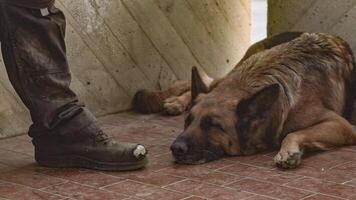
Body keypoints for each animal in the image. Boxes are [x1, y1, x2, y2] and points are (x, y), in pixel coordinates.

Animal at [133, 32, 356, 169]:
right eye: (187, 122)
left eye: (213, 125)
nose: (176, 149)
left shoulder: (342, 125)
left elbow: (291, 133)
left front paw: (288, 151)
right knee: (207, 80)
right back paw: (175, 101)